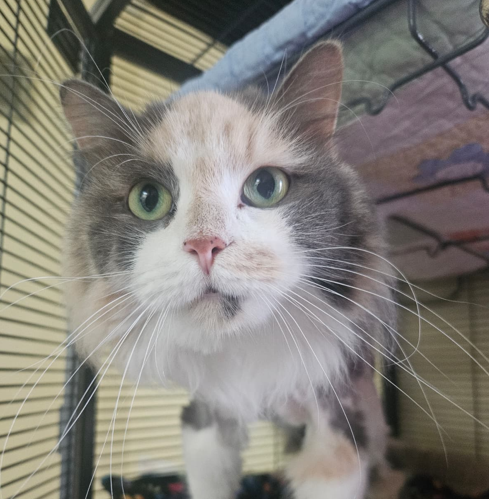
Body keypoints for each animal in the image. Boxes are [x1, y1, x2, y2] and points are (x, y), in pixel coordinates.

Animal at [60, 41, 397, 499]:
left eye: (266, 186)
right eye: (147, 198)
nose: (205, 245)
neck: (245, 350)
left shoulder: (339, 421)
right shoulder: (204, 416)